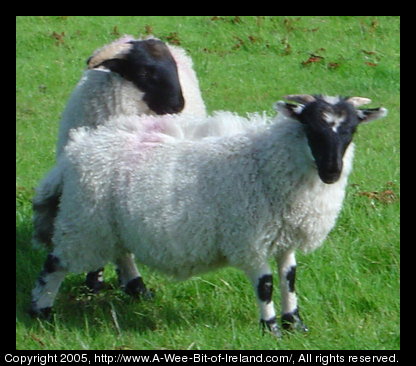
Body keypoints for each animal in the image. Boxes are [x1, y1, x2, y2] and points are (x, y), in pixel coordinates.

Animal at [29, 95, 386, 338]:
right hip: (82, 222)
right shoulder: (249, 238)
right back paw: (41, 311)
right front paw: (270, 328)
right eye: (311, 128)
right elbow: (266, 285)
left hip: (109, 222)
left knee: (122, 253)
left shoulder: (284, 237)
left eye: (350, 131)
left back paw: (138, 289)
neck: (268, 163)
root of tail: (79, 149)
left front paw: (295, 322)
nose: (332, 172)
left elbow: (289, 278)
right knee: (54, 265)